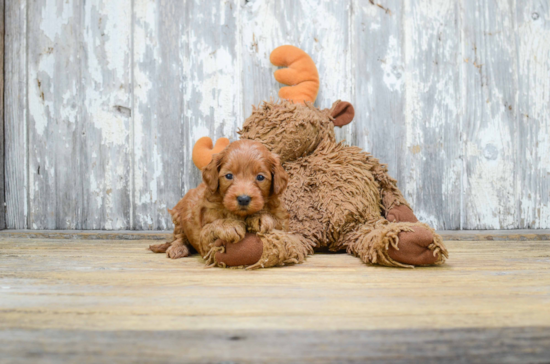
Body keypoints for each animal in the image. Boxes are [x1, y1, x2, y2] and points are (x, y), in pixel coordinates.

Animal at [149, 140, 292, 264]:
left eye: (260, 177)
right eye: (228, 175)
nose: (243, 199)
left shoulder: (283, 223)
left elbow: (279, 227)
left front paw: (260, 217)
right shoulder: (205, 243)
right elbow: (211, 228)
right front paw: (229, 225)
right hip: (179, 213)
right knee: (180, 237)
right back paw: (177, 248)